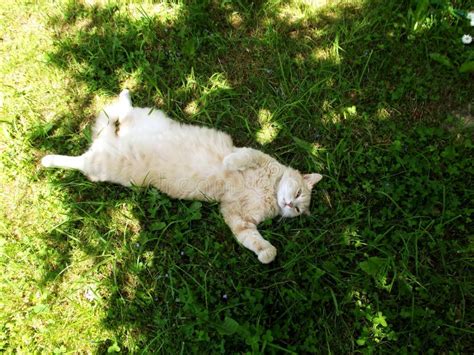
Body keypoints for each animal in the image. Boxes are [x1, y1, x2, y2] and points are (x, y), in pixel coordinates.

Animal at [41, 91, 322, 264]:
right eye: (298, 194)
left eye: (299, 209)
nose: (290, 205)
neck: (269, 193)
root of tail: (103, 145)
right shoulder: (254, 156)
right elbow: (242, 157)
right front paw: (229, 163)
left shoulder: (237, 217)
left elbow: (250, 239)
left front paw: (267, 253)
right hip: (129, 133)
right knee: (115, 116)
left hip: (102, 160)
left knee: (107, 124)